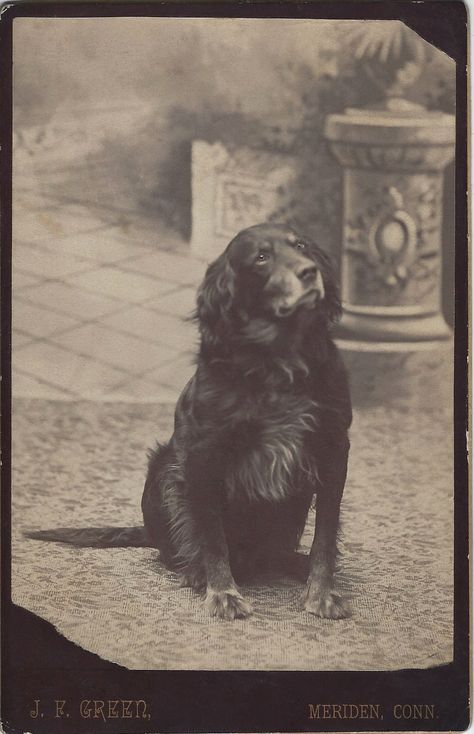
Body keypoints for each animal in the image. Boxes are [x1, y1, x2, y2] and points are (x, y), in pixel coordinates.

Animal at [25, 224, 352, 620]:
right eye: (261, 257)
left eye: (301, 246)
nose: (308, 272)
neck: (278, 360)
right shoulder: (203, 457)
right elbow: (212, 536)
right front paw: (223, 592)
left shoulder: (334, 448)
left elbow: (326, 533)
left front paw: (321, 592)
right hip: (165, 469)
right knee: (177, 550)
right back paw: (195, 571)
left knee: (275, 553)